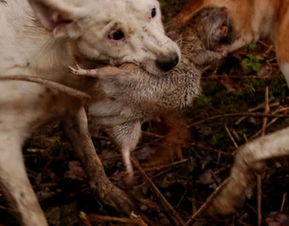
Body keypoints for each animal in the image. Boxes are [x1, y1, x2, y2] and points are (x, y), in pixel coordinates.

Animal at [0, 0, 180, 225]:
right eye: (116, 35)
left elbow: (90, 155)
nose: (170, 60)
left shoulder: (70, 107)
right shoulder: (5, 149)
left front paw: (110, 193)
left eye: (153, 12)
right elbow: (32, 210)